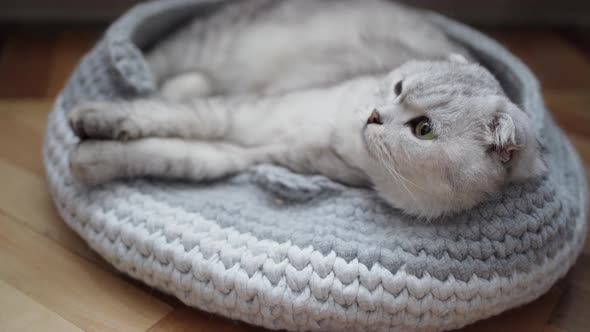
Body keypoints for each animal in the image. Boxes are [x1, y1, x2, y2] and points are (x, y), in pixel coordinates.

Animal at [66, 0, 544, 219]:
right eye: (398, 87)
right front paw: (91, 120)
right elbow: (157, 116)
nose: (374, 115)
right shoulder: (244, 115)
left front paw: (88, 158)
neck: (337, 142)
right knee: (166, 80)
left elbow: (163, 153)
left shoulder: (244, 151)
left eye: (424, 129)